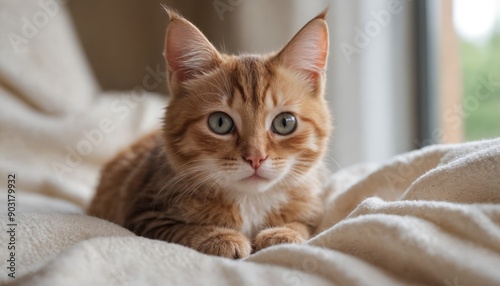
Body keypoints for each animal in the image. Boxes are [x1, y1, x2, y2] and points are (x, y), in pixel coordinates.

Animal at [88, 8, 332, 260]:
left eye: (285, 122)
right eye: (220, 122)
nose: (255, 157)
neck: (250, 200)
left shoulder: (313, 209)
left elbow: (302, 225)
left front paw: (283, 232)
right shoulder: (145, 215)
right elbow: (184, 230)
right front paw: (220, 237)